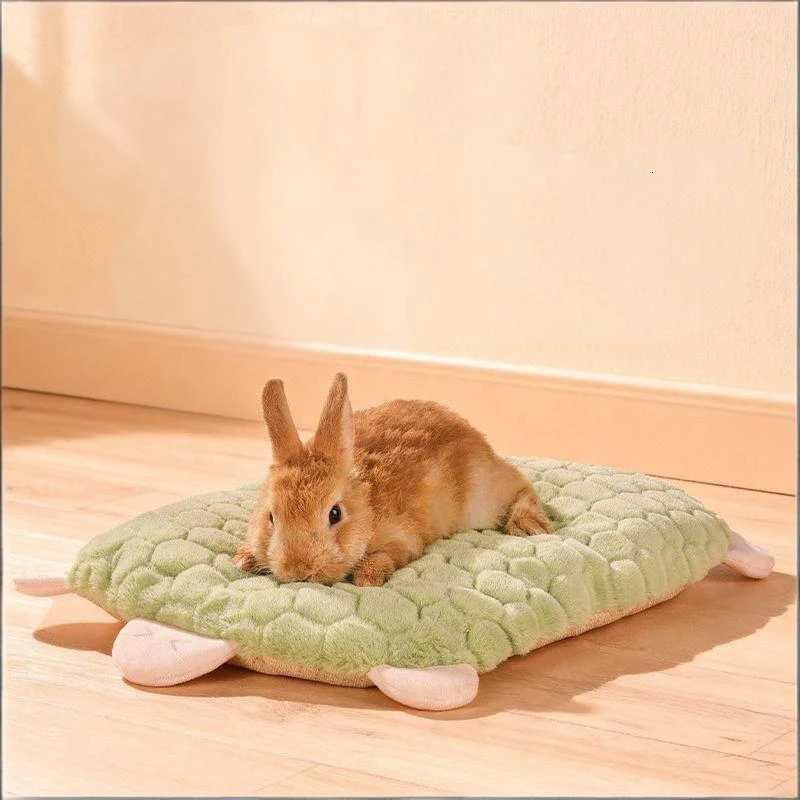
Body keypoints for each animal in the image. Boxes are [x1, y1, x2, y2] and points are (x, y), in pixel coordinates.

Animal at [234, 373, 551, 587]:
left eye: (335, 514)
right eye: (271, 517)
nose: (299, 571)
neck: (367, 509)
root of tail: (471, 432)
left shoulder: (404, 539)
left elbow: (389, 555)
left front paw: (368, 578)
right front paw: (243, 558)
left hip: (482, 498)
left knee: (522, 485)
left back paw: (528, 525)